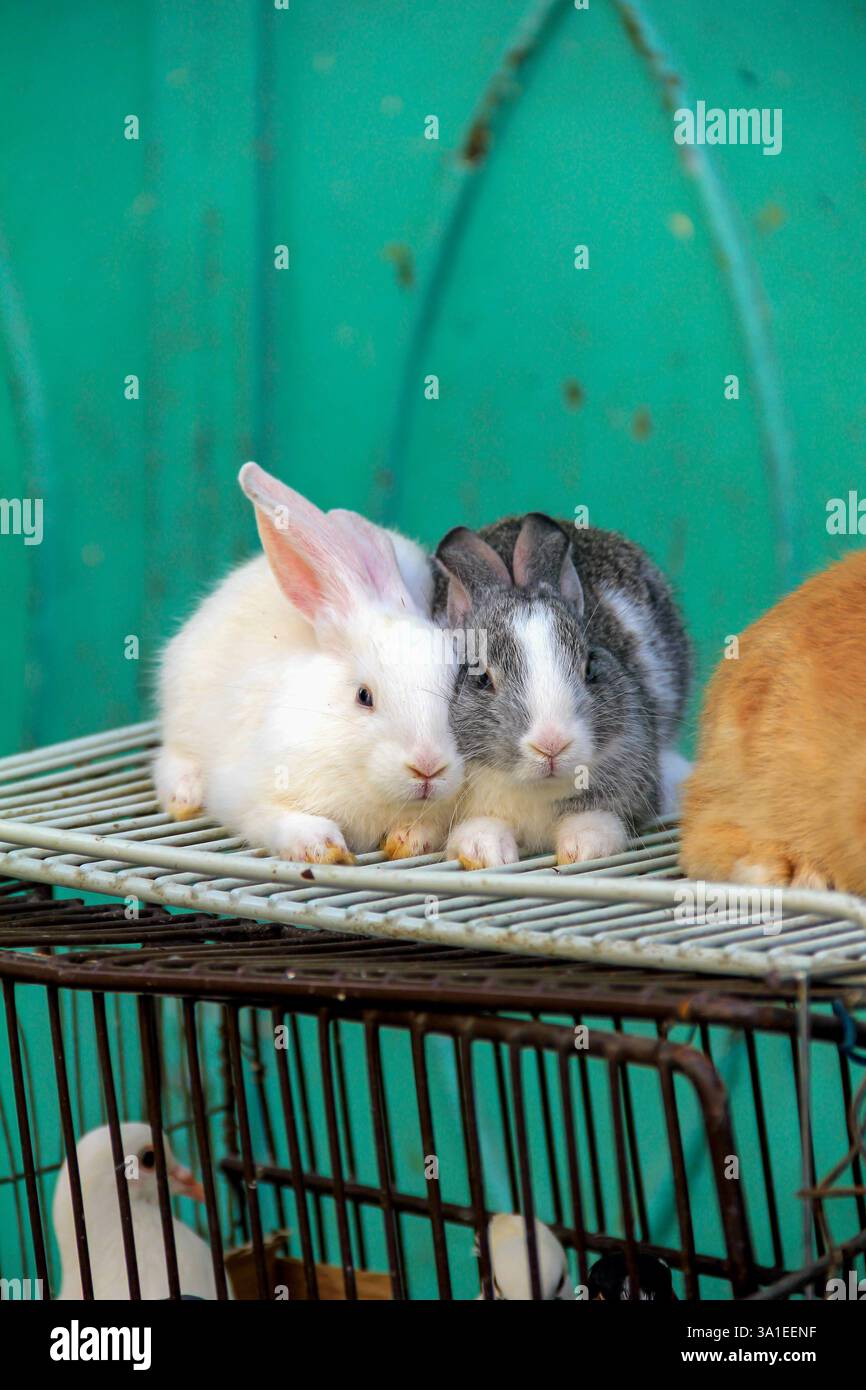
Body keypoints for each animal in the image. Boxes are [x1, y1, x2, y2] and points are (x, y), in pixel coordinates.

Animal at [154, 463, 464, 863]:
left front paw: (406, 840)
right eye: (364, 696)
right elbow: (282, 820)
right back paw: (184, 795)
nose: (427, 766)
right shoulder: (249, 794)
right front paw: (323, 849)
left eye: (457, 689)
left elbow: (425, 828)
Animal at [433, 512, 690, 868]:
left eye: (590, 668)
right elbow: (480, 826)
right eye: (482, 678)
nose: (551, 744)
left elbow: (597, 820)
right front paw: (487, 852)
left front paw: (583, 848)